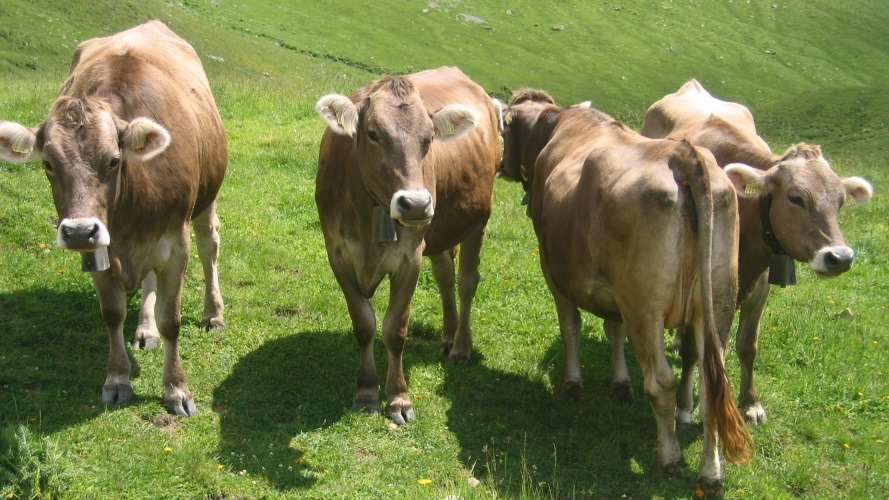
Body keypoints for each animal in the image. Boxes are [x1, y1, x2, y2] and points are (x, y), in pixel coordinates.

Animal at [0, 20, 227, 414]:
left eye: (113, 160)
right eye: (48, 163)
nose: (78, 231)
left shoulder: (175, 244)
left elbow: (171, 320)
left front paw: (177, 389)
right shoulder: (100, 246)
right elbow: (112, 314)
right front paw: (117, 379)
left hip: (205, 200)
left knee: (209, 244)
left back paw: (212, 313)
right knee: (148, 282)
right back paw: (145, 328)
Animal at [314, 66, 500, 424]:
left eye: (429, 139)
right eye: (373, 133)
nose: (415, 204)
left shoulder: (409, 259)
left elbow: (394, 330)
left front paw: (398, 398)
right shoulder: (337, 254)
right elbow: (364, 325)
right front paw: (367, 392)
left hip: (477, 222)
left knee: (466, 282)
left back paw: (461, 346)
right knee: (444, 275)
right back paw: (448, 334)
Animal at [500, 89, 748, 492]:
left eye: (504, 129)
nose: (501, 166)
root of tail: (682, 154)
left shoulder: (554, 271)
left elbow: (571, 327)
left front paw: (572, 383)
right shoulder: (612, 289)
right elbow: (612, 329)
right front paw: (619, 384)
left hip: (644, 307)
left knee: (661, 383)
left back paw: (669, 459)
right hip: (718, 303)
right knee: (713, 386)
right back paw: (710, 474)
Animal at [640, 80, 872, 424]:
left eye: (841, 201)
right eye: (795, 198)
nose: (840, 257)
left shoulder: (761, 284)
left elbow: (748, 345)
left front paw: (751, 403)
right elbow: (696, 351)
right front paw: (683, 405)